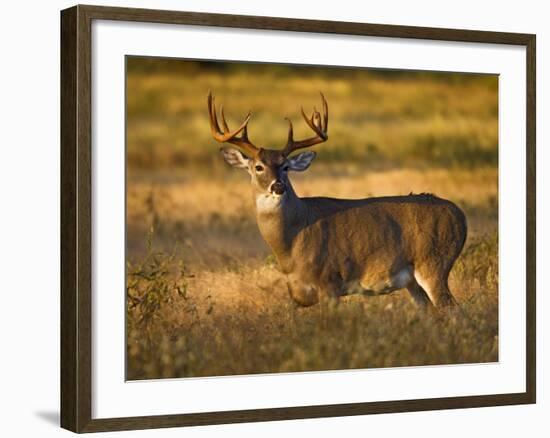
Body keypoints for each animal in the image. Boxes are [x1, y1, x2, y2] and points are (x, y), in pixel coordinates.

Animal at [209, 90, 468, 308]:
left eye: (285, 167)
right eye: (258, 167)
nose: (278, 186)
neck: (292, 242)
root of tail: (461, 216)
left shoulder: (329, 282)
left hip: (434, 263)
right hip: (413, 281)